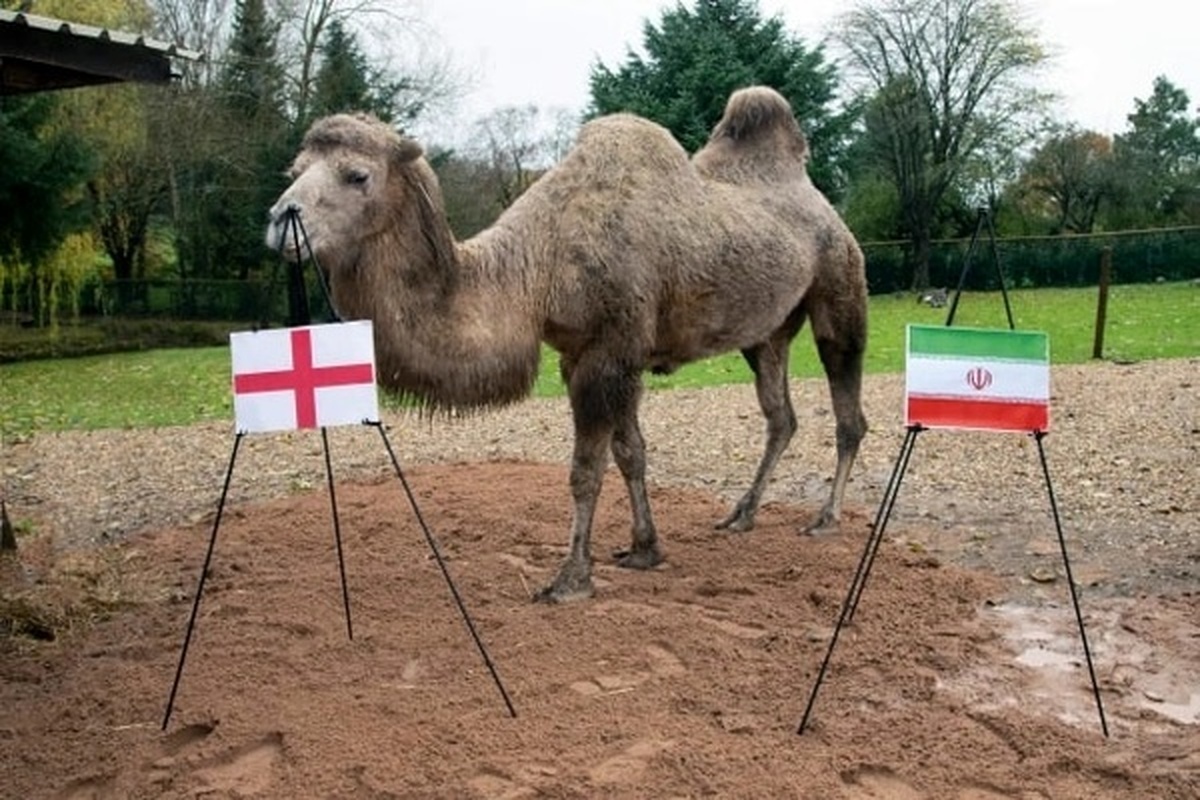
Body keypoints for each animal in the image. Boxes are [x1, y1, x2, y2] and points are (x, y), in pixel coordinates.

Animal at [267, 86, 868, 599]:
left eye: (357, 175)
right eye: (294, 171)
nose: (280, 220)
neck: (536, 268)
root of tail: (821, 203)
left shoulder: (608, 353)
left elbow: (586, 471)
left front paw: (571, 578)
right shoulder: (590, 354)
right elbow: (631, 454)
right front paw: (645, 549)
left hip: (841, 284)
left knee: (848, 413)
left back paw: (825, 518)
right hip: (769, 330)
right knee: (780, 415)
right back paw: (742, 514)